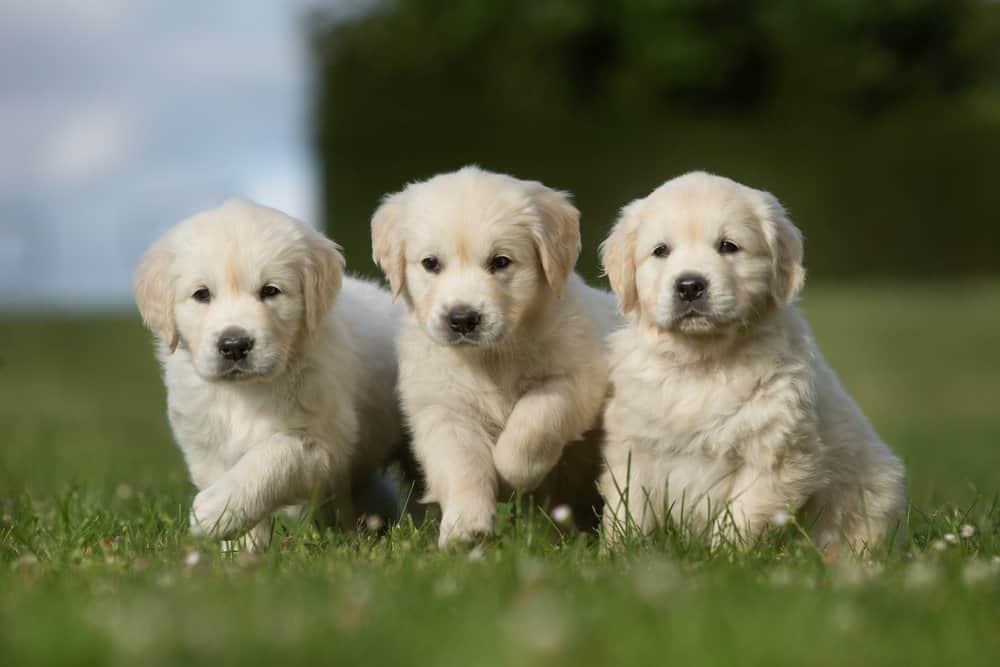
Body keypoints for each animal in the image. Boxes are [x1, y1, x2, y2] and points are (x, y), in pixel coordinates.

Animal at [136, 201, 406, 552]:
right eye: (201, 294)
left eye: (270, 291)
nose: (234, 345)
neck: (247, 391)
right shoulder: (205, 442)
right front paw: (240, 546)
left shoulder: (321, 441)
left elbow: (270, 459)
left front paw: (214, 511)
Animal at [374, 166, 616, 548]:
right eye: (430, 264)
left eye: (500, 262)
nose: (461, 319)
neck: (490, 358)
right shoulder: (442, 408)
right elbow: (461, 464)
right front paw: (465, 527)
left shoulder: (579, 376)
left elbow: (536, 417)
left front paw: (510, 470)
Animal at [600, 172, 908, 552]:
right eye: (661, 251)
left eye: (728, 246)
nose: (689, 285)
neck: (702, 361)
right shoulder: (634, 446)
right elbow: (628, 508)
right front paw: (619, 552)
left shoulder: (777, 457)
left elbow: (741, 517)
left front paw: (722, 558)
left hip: (876, 494)